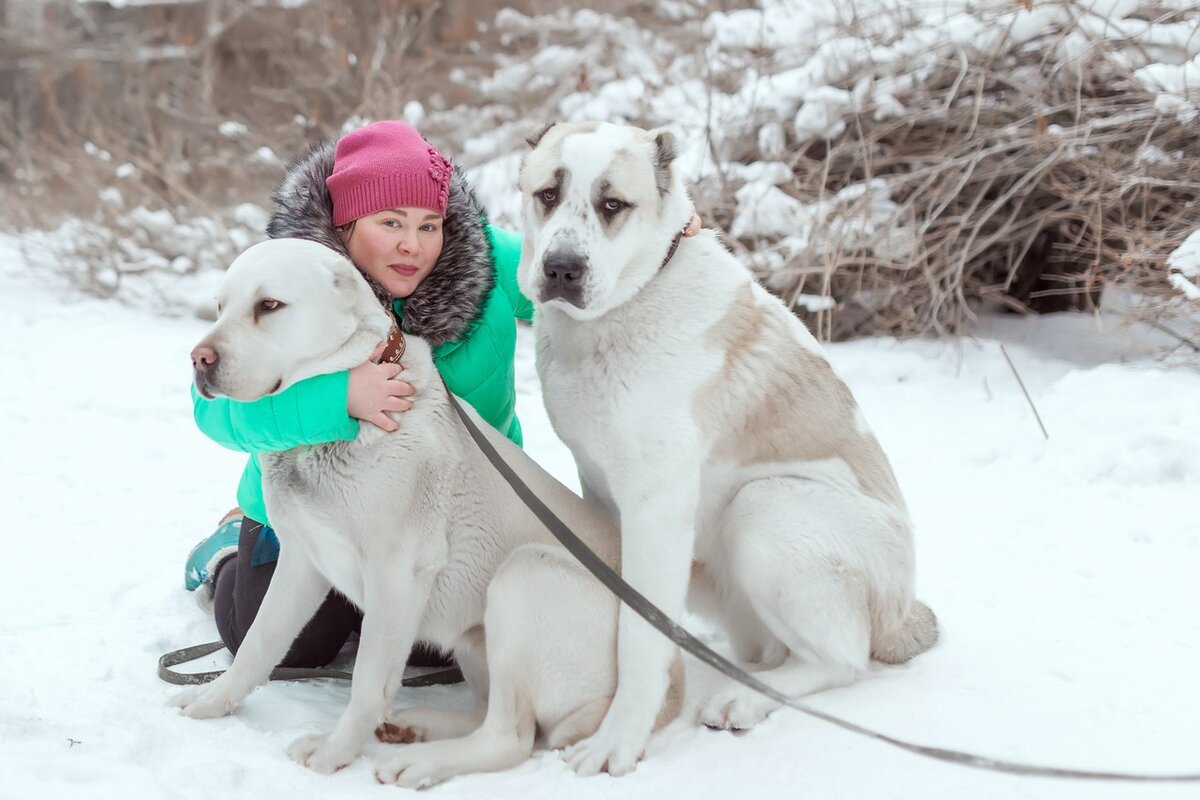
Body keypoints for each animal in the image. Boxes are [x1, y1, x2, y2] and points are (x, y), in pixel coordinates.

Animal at [176, 237, 686, 786]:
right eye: (221, 307)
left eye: (269, 305)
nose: (199, 358)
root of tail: (675, 679)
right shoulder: (302, 563)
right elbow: (257, 646)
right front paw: (210, 702)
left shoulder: (397, 576)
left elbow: (367, 679)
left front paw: (335, 752)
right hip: (474, 638)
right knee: (489, 717)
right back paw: (415, 726)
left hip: (525, 574)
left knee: (510, 737)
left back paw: (418, 760)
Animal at [516, 120, 936, 777]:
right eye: (548, 195)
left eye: (612, 205)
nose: (561, 268)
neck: (632, 303)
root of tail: (904, 611)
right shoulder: (605, 496)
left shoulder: (657, 511)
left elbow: (639, 637)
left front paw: (619, 741)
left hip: (764, 508)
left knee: (842, 659)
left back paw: (748, 697)